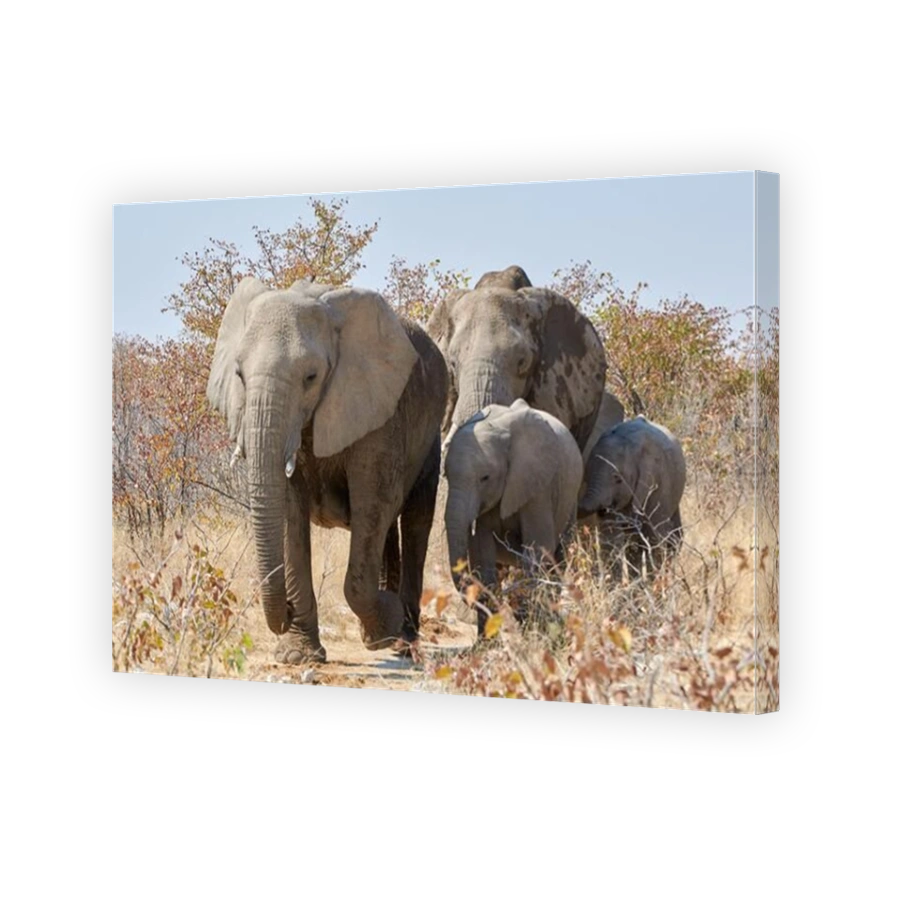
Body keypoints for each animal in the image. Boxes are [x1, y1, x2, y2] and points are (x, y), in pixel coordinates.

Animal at [206, 276, 449, 665]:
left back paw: (402, 640)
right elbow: (290, 513)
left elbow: (373, 501)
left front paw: (385, 624)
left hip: (428, 439)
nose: (286, 611)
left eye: (311, 376)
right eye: (239, 375)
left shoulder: (379, 410)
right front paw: (298, 656)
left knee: (413, 521)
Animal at [442, 399, 584, 635]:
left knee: (558, 559)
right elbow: (483, 552)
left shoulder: (538, 485)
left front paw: (534, 629)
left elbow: (538, 548)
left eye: (485, 478)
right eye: (445, 476)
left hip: (569, 501)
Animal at [579, 415, 686, 583]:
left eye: (617, 479)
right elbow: (611, 540)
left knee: (673, 539)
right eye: (586, 476)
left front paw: (652, 587)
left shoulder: (658, 482)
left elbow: (654, 540)